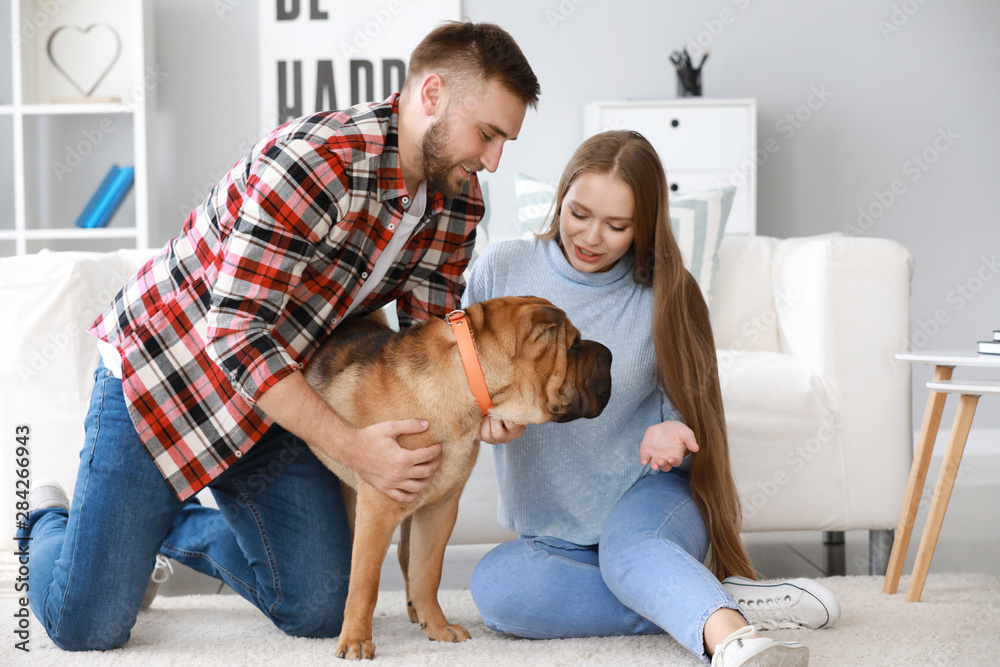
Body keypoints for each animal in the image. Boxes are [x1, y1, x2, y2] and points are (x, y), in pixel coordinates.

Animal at [304, 296, 612, 656]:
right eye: (573, 346)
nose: (609, 354)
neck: (467, 382)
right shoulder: (378, 508)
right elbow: (364, 582)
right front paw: (355, 641)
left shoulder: (440, 508)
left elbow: (427, 572)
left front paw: (438, 628)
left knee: (406, 554)